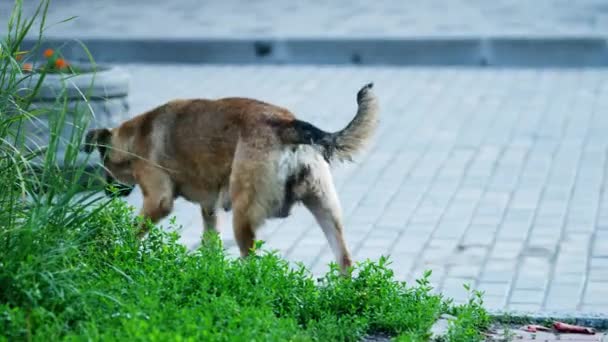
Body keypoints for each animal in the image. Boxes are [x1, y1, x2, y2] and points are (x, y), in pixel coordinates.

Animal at [84, 83, 380, 272]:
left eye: (104, 165)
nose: (108, 192)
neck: (135, 137)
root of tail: (286, 124)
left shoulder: (158, 200)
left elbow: (134, 231)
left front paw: (119, 251)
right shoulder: (209, 208)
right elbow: (210, 242)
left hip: (243, 215)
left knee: (253, 263)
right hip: (325, 206)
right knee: (344, 259)